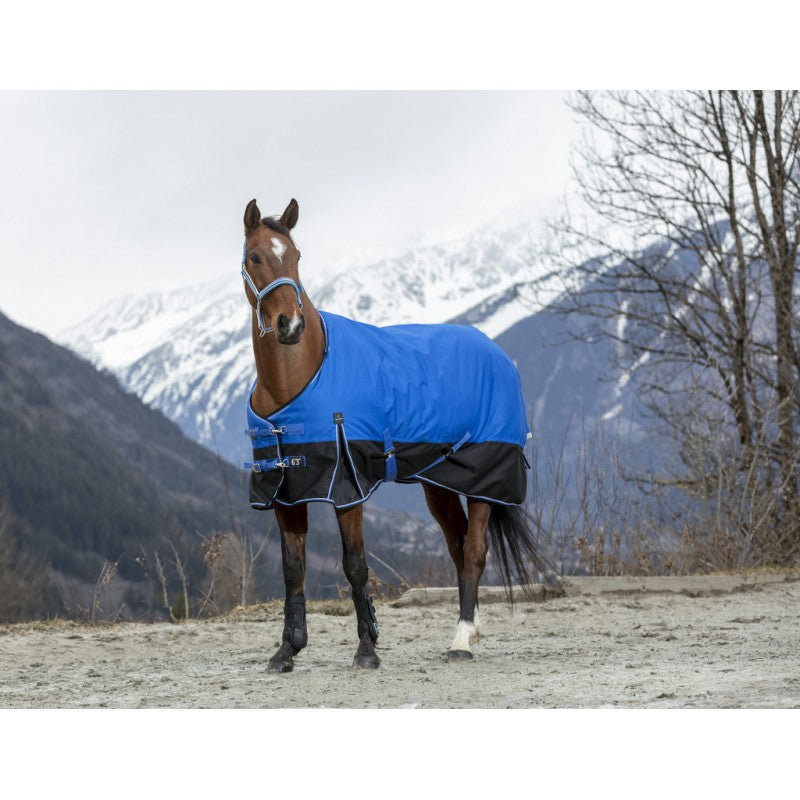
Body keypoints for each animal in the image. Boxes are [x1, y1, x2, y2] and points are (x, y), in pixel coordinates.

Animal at [241, 197, 546, 671]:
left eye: (295, 256)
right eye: (255, 257)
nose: (290, 325)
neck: (297, 379)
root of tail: (498, 354)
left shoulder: (347, 487)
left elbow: (355, 565)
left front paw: (367, 649)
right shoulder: (285, 490)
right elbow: (293, 568)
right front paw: (287, 650)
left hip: (485, 480)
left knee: (475, 551)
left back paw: (461, 640)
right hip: (439, 484)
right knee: (459, 549)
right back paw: (471, 628)